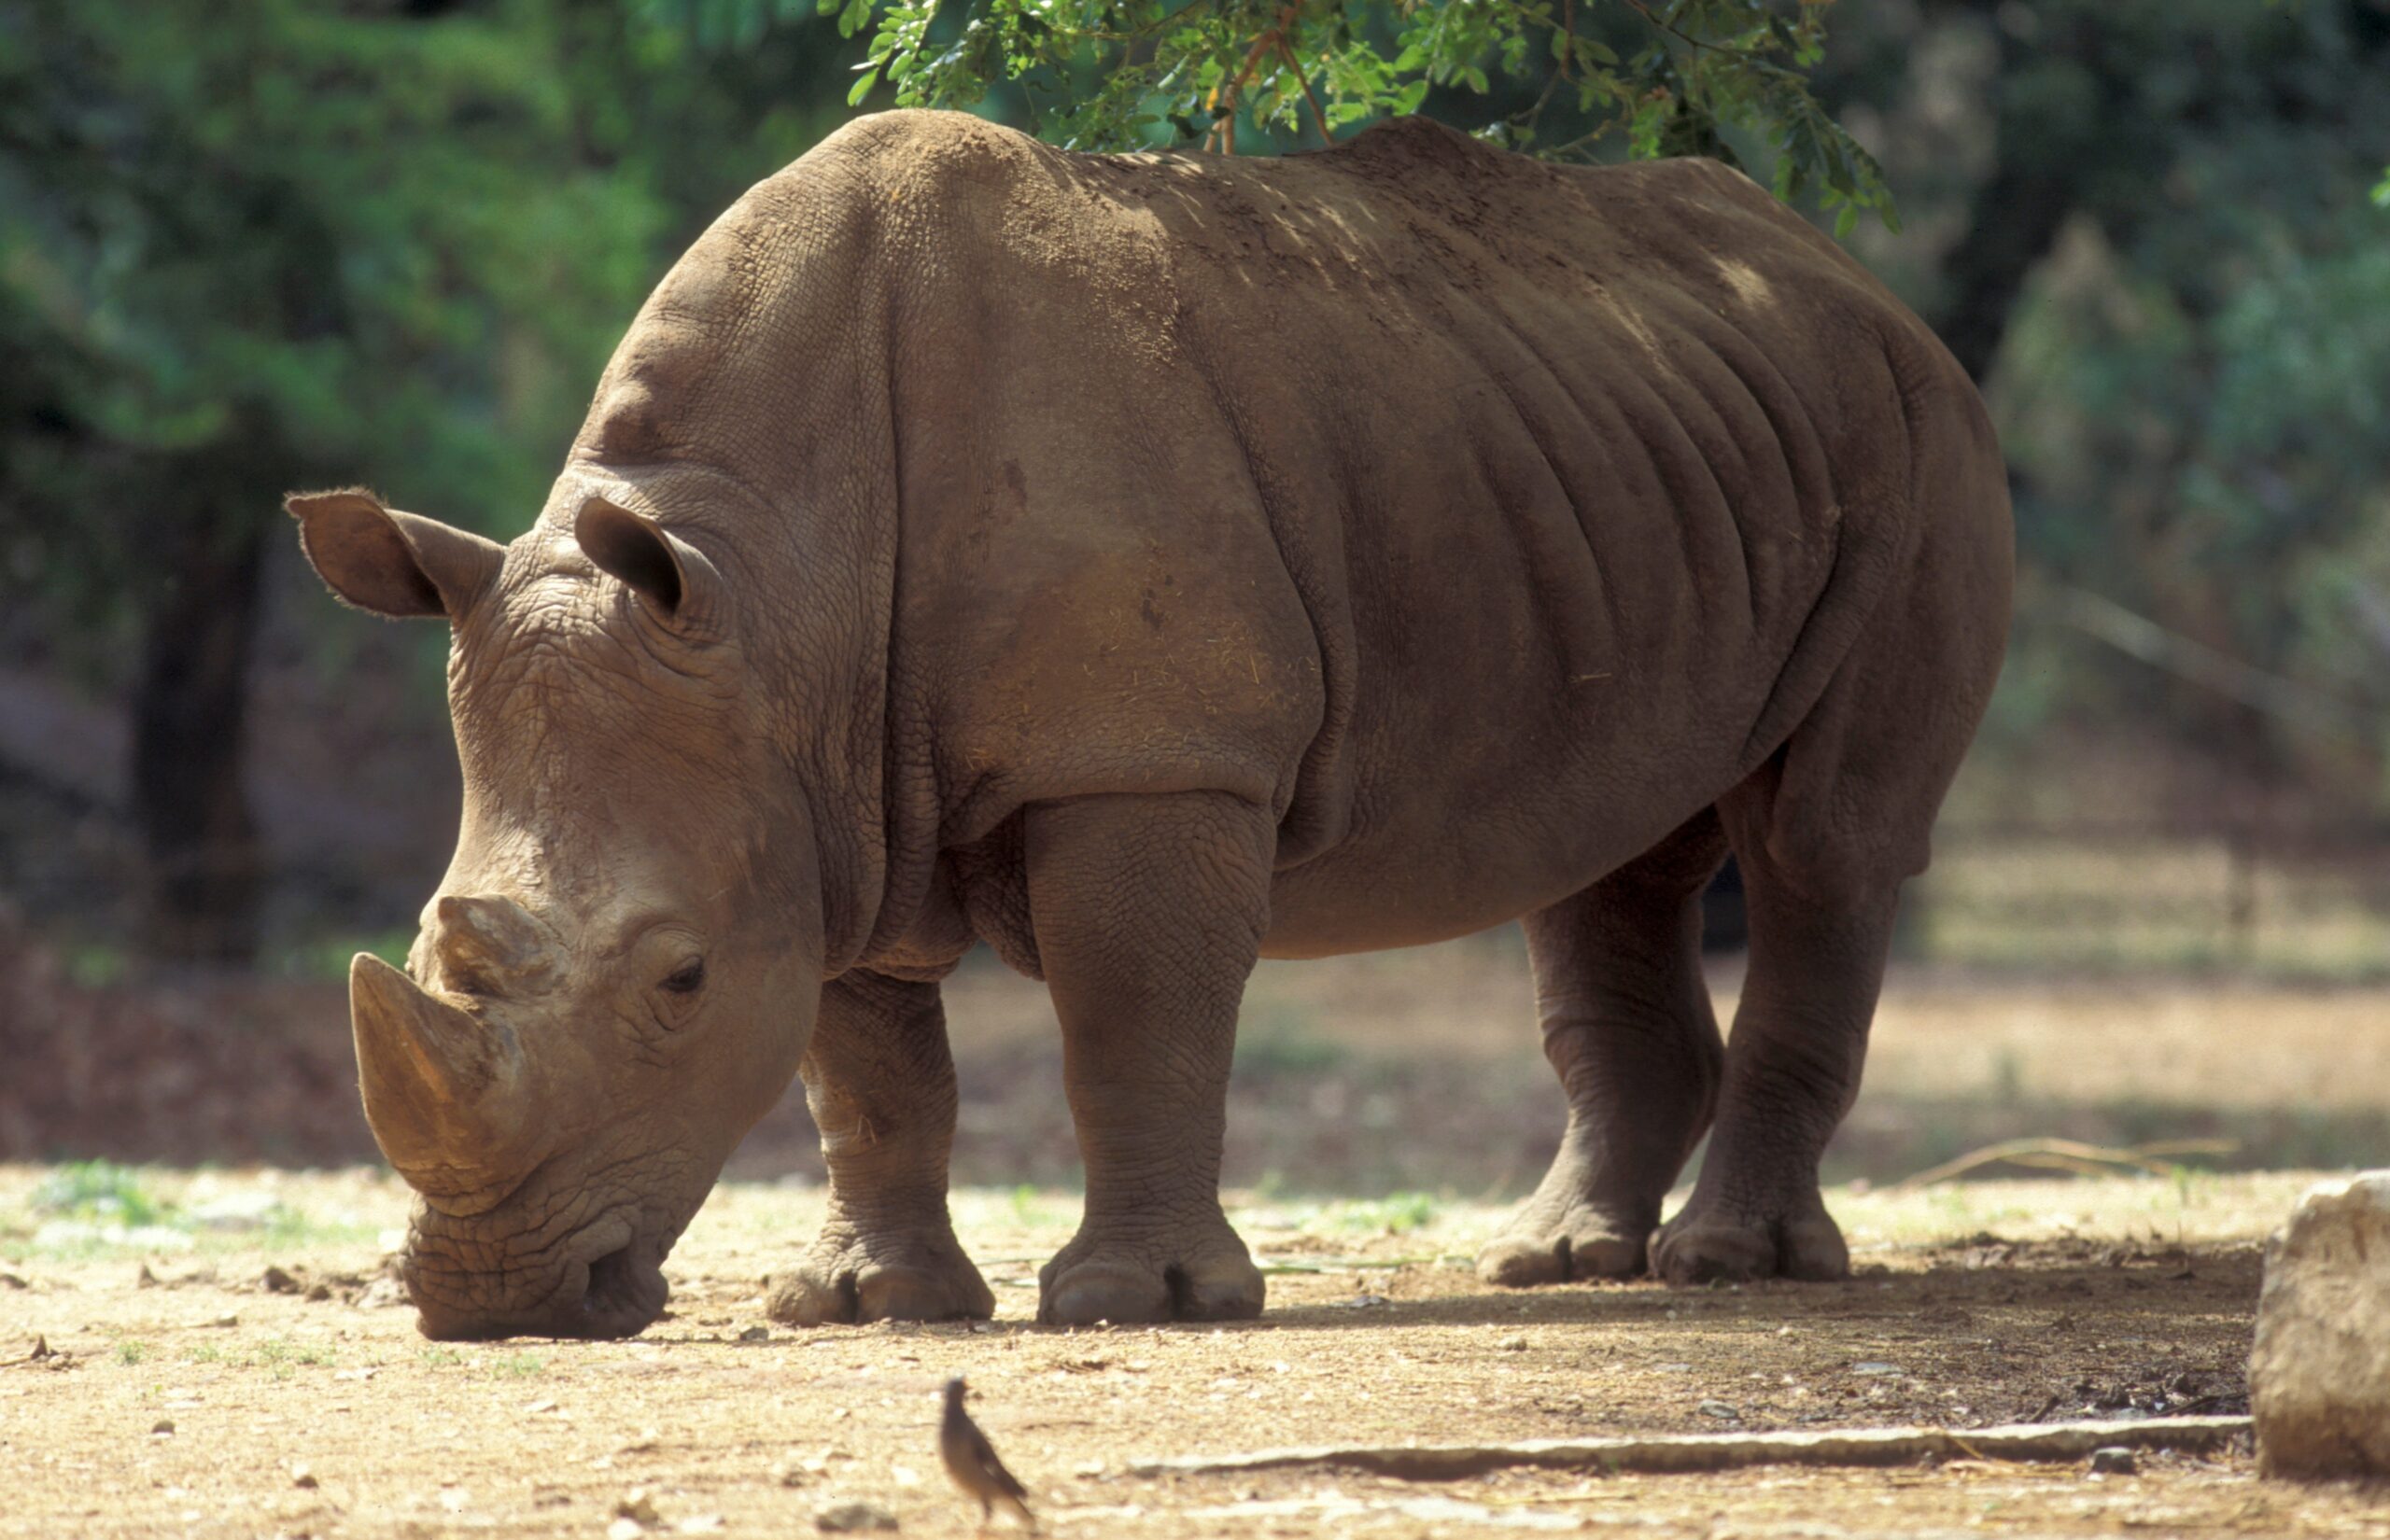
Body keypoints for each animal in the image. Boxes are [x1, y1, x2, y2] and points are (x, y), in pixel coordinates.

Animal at [290, 110, 2011, 1340]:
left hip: (1921, 437)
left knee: (1826, 844)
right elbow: (866, 1064)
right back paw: (1558, 1263)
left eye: (679, 980)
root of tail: (1865, 282)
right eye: (436, 938)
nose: (489, 1301)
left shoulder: (1149, 759)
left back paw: (1736, 1269)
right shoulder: (817, 784)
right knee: (1610, 852)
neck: (771, 581)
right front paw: (864, 1304)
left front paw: (1145, 1303)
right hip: (1635, 466)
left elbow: (1135, 1016)